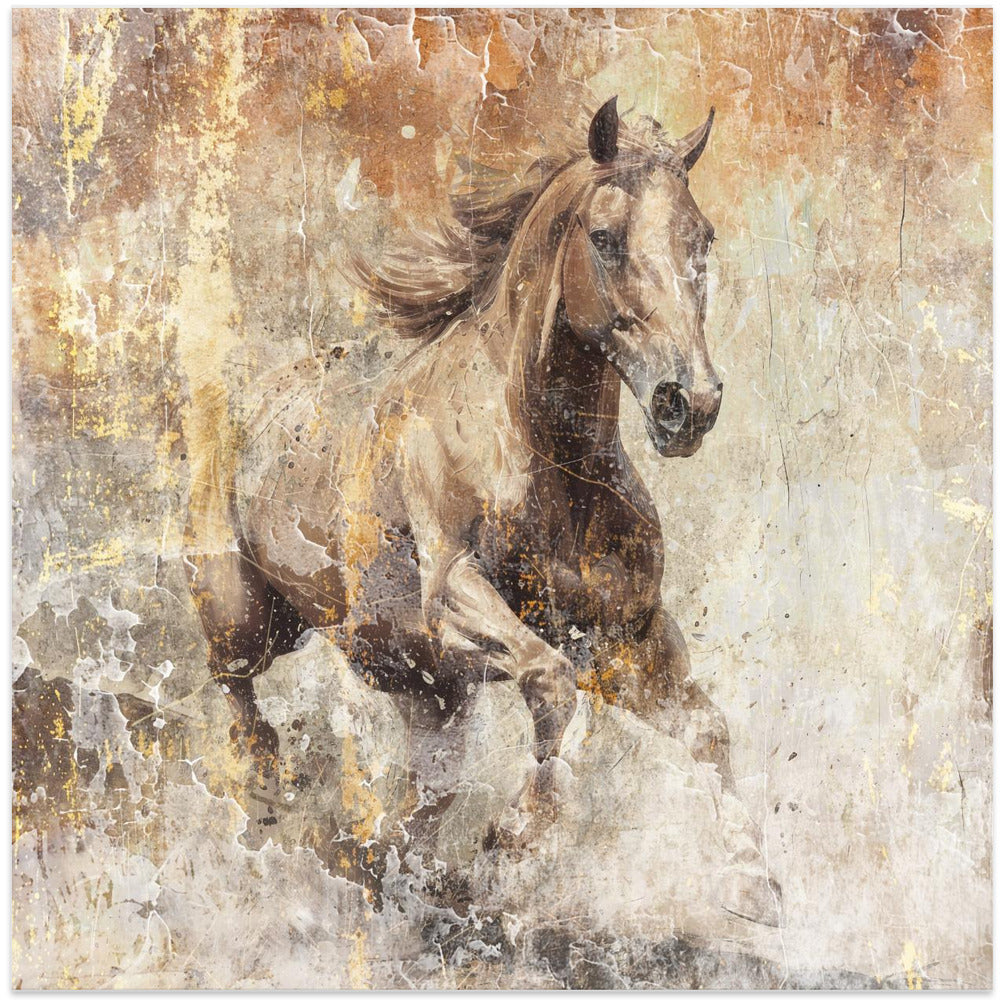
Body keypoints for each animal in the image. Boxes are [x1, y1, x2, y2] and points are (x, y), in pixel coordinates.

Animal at [184, 96, 733, 812]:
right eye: (604, 238)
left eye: (704, 238)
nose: (688, 402)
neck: (551, 464)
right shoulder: (452, 594)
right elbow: (550, 684)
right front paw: (519, 823)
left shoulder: (632, 641)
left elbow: (710, 737)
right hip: (245, 629)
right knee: (240, 704)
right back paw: (272, 790)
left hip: (430, 701)